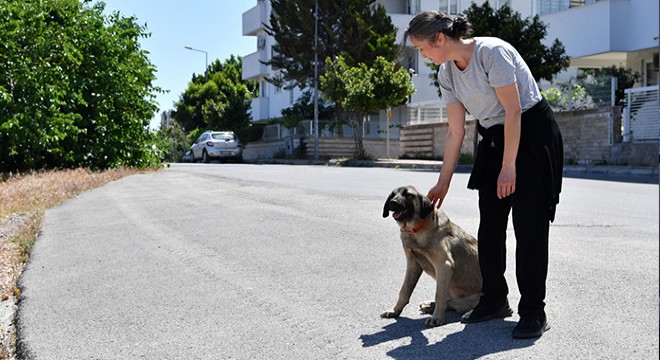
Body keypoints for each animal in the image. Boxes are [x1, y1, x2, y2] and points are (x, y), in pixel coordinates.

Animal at [382, 186, 480, 326]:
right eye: (392, 195)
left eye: (408, 195)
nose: (393, 202)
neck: (416, 229)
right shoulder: (413, 264)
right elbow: (404, 291)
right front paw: (395, 311)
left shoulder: (443, 266)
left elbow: (439, 295)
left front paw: (436, 317)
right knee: (450, 303)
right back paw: (429, 306)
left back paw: (467, 314)